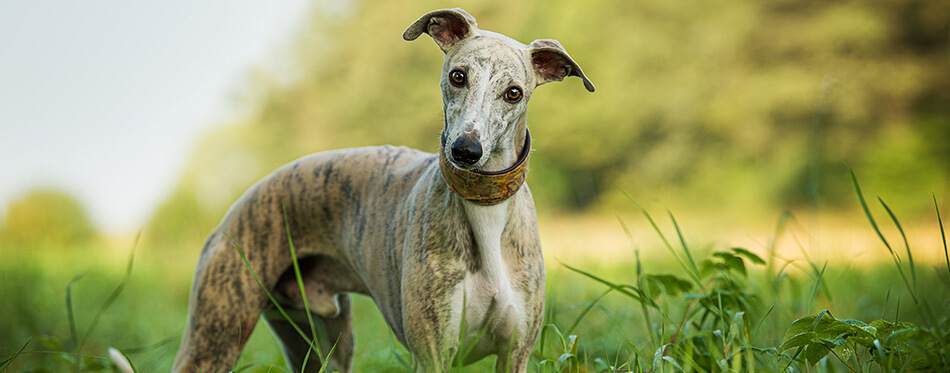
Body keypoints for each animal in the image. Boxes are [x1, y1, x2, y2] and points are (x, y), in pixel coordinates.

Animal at [173, 8, 596, 372]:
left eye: (514, 93)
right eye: (458, 76)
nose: (465, 150)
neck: (484, 209)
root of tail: (241, 203)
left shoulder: (516, 353)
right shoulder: (432, 355)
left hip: (324, 341)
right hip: (216, 334)